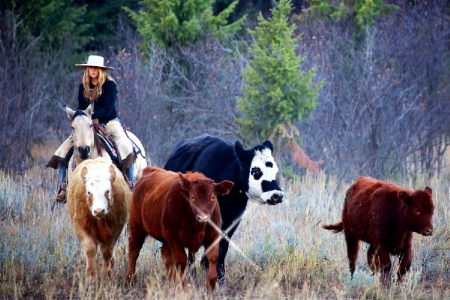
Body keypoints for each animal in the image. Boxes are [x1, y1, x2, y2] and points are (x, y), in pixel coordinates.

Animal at [67, 157, 131, 286]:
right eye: (89, 192)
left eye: (107, 191)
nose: (99, 210)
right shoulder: (80, 226)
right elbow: (90, 249)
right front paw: (90, 278)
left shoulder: (116, 229)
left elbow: (107, 252)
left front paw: (106, 276)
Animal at [162, 134, 284, 286]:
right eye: (256, 170)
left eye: (275, 171)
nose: (277, 195)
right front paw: (217, 277)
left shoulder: (233, 220)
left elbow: (223, 246)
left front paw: (218, 272)